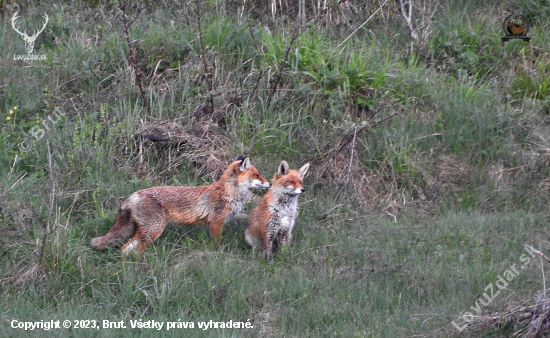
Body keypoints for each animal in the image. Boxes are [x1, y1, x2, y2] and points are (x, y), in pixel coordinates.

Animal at [90, 157, 272, 255]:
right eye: (257, 175)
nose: (270, 183)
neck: (228, 192)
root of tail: (133, 195)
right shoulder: (216, 223)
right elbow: (217, 244)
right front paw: (217, 254)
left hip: (144, 232)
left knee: (124, 249)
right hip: (153, 231)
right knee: (132, 249)